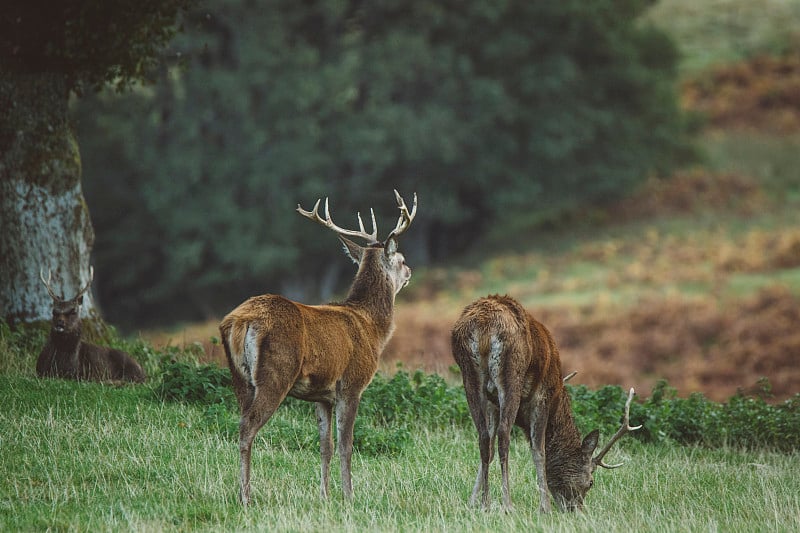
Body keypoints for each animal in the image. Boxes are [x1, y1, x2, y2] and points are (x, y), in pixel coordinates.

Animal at [220, 189, 418, 504]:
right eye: (400, 258)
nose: (410, 271)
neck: (372, 329)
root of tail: (240, 321)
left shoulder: (322, 396)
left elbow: (325, 447)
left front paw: (324, 495)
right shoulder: (351, 384)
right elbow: (346, 445)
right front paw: (349, 496)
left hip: (238, 377)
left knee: (240, 421)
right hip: (275, 373)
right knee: (248, 427)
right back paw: (245, 497)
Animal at [454, 296, 640, 512]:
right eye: (590, 482)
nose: (576, 509)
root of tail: (484, 326)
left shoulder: (493, 404)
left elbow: (489, 449)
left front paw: (472, 501)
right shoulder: (542, 396)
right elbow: (539, 450)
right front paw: (545, 507)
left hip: (469, 376)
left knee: (483, 437)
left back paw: (486, 503)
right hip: (511, 374)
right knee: (504, 435)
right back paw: (508, 504)